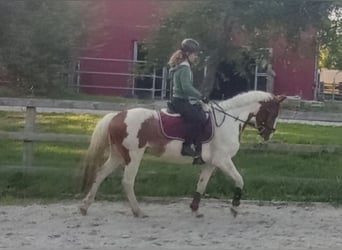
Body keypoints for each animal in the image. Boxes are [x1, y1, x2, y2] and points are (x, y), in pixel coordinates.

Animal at [79, 91, 286, 218]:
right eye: (272, 111)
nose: (269, 134)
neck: (228, 120)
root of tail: (116, 115)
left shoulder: (211, 163)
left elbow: (202, 184)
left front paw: (195, 210)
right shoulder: (223, 160)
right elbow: (239, 180)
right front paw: (234, 207)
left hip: (118, 156)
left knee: (100, 174)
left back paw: (85, 206)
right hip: (133, 156)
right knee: (127, 182)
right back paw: (138, 211)